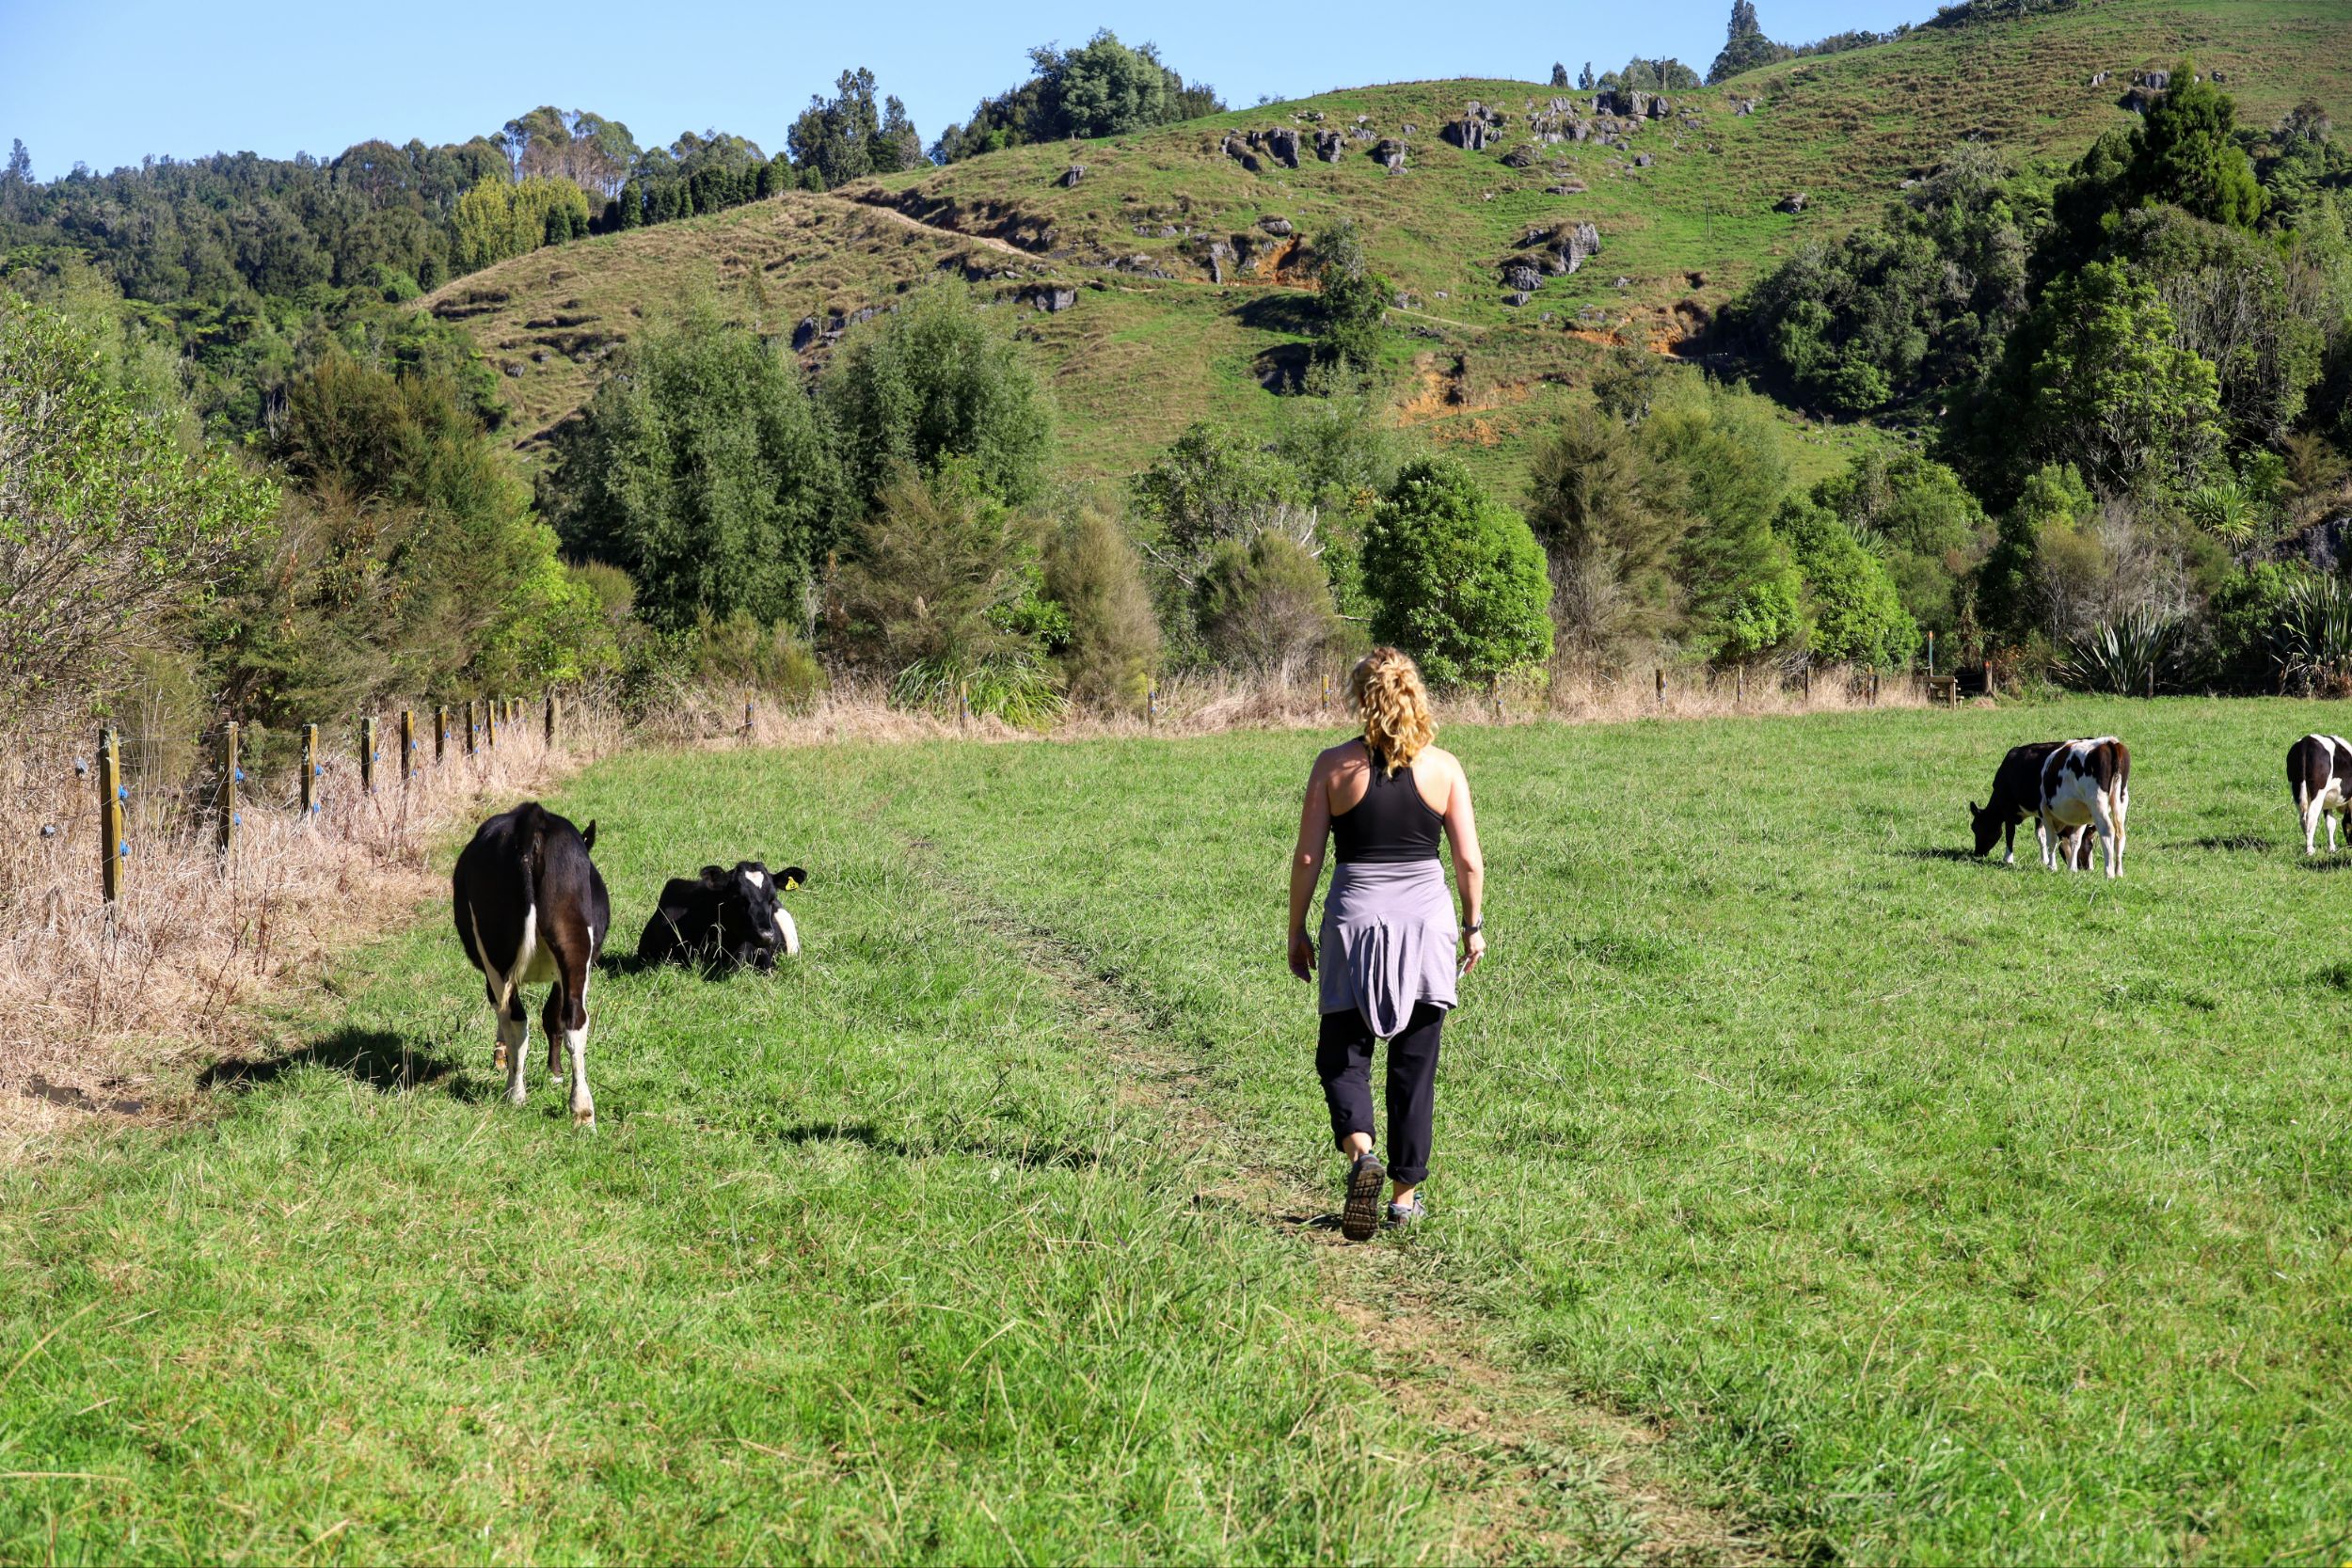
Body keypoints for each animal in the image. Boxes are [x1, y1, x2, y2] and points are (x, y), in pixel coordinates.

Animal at [452, 803, 607, 1123]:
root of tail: (533, 818)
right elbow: (552, 1017)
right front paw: (554, 1073)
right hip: (574, 946)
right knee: (573, 1018)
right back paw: (581, 1110)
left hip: (497, 953)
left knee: (515, 1018)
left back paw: (516, 1093)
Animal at [1966, 737, 2136, 879]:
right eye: (2091, 845)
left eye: (1976, 827)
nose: (1977, 853)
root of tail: (2110, 742)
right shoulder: (2055, 814)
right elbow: (2065, 839)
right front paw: (2066, 867)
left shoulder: (2022, 810)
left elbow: (2021, 835)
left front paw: (2011, 860)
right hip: (2121, 800)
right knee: (2120, 834)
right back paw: (2119, 872)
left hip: (2097, 803)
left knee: (2108, 831)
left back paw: (2109, 873)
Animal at [2286, 737, 2343, 860]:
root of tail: (2307, 741)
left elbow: (2330, 822)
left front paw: (2332, 848)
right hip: (2318, 793)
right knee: (2311, 818)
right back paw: (2310, 851)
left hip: (2297, 788)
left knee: (2303, 818)